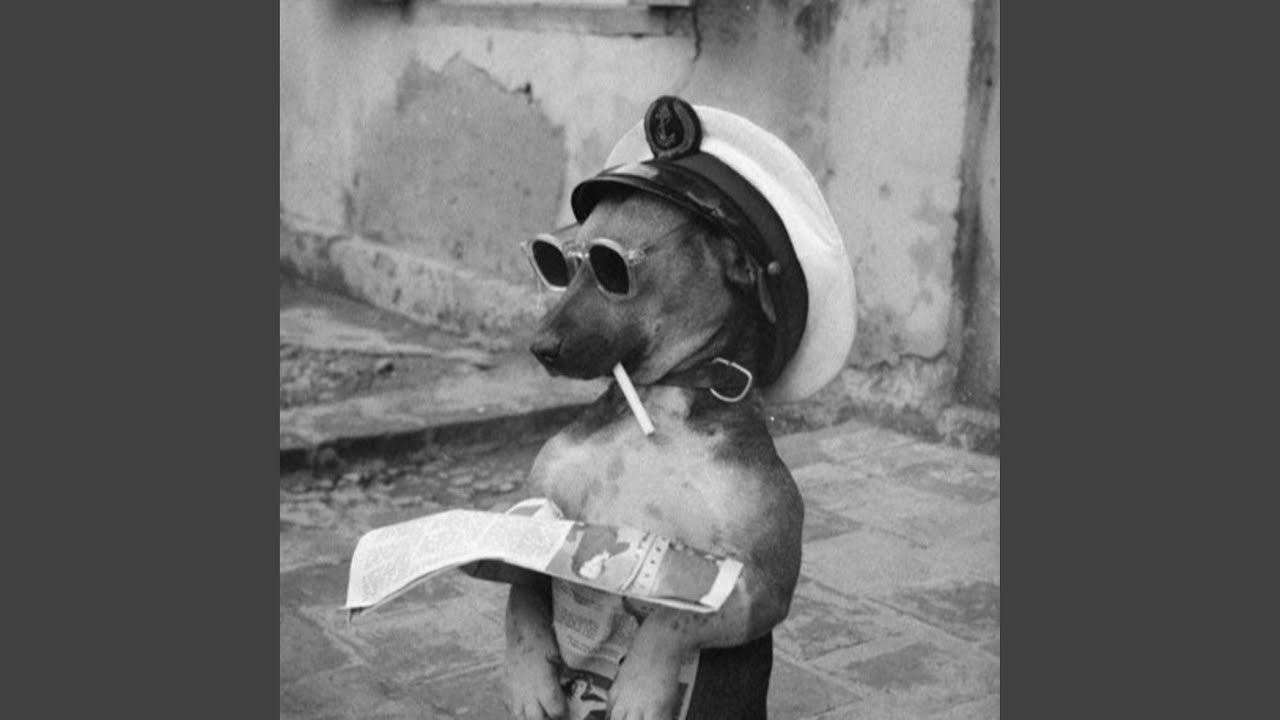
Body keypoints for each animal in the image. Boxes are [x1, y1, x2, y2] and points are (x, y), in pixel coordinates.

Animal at [501, 97, 855, 720]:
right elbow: (521, 590)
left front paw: (641, 686)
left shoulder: (761, 585)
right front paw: (528, 679)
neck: (658, 410)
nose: (540, 347)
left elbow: (671, 618)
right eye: (557, 263)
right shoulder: (540, 521)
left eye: (612, 269)